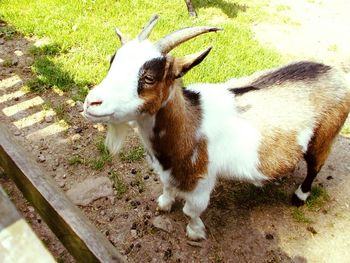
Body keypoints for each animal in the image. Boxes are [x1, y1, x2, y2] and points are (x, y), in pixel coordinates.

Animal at [84, 14, 350, 241]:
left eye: (149, 78)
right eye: (112, 62)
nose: (91, 103)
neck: (190, 125)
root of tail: (336, 72)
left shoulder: (201, 181)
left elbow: (191, 211)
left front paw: (195, 233)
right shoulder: (168, 172)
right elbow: (167, 188)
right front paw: (164, 204)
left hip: (325, 136)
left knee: (315, 166)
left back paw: (299, 196)